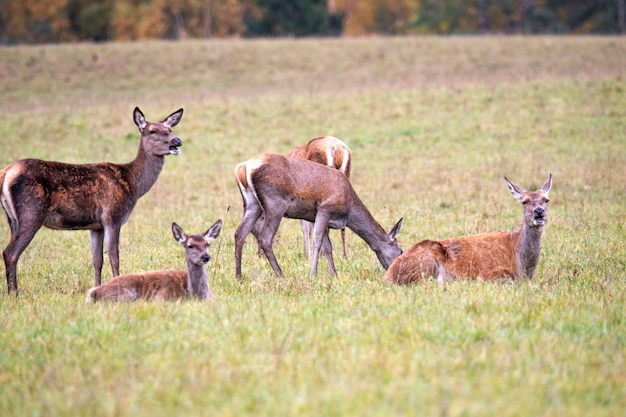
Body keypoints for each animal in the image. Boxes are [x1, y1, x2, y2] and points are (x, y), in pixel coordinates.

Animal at [1, 108, 183, 296]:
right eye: (152, 131)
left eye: (169, 129)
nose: (177, 141)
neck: (132, 183)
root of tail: (6, 173)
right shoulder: (112, 216)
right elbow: (114, 257)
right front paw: (116, 285)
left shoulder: (96, 226)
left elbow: (97, 260)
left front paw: (97, 288)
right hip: (31, 213)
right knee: (10, 253)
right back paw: (14, 294)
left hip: (12, 218)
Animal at [85, 219, 222, 300]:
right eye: (190, 245)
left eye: (207, 244)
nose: (205, 256)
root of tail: (94, 292)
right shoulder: (161, 297)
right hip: (126, 295)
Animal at [232, 153, 402, 280]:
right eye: (400, 250)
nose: (394, 269)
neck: (349, 210)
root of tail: (243, 168)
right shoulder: (325, 209)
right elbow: (318, 241)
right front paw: (313, 274)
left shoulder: (313, 217)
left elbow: (328, 246)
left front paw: (334, 275)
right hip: (275, 204)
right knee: (265, 238)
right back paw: (281, 274)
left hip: (252, 204)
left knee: (239, 234)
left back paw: (239, 277)